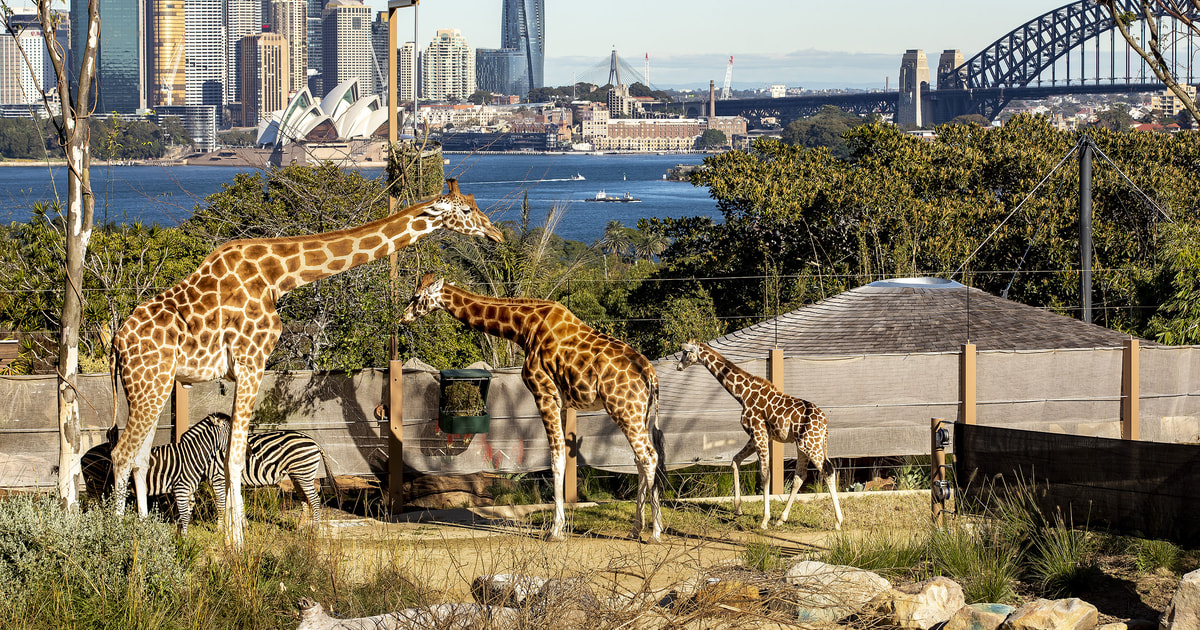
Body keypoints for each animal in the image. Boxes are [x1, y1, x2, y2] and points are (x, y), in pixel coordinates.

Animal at [103, 177, 496, 544]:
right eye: (465, 210)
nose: (494, 233)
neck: (277, 276)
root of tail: (117, 343)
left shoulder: (241, 368)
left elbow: (230, 455)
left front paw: (233, 532)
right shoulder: (250, 361)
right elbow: (234, 456)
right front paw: (237, 542)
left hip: (156, 385)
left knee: (139, 456)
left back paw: (141, 530)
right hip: (148, 383)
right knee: (121, 454)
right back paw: (118, 537)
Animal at [400, 273, 667, 540]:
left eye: (416, 296)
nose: (403, 318)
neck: (523, 327)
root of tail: (651, 375)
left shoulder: (543, 393)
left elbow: (556, 459)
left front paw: (555, 530)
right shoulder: (561, 403)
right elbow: (562, 456)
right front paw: (561, 527)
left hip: (624, 409)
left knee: (649, 456)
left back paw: (655, 532)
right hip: (638, 412)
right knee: (641, 458)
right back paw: (636, 529)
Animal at [676, 340, 844, 528]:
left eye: (685, 352)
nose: (678, 366)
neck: (742, 394)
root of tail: (825, 423)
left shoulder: (759, 433)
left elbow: (765, 475)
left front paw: (764, 520)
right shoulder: (757, 435)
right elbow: (735, 460)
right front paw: (738, 509)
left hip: (811, 444)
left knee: (827, 471)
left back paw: (838, 522)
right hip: (803, 445)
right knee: (800, 476)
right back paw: (781, 519)